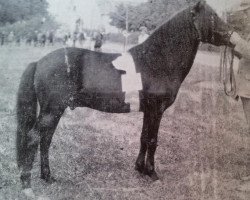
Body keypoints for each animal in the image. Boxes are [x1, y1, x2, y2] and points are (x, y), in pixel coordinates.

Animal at [16, 0, 233, 189]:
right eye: (212, 16)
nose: (232, 35)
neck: (158, 60)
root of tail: (39, 62)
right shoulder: (157, 110)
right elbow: (153, 140)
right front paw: (152, 173)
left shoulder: (148, 111)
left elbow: (144, 137)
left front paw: (140, 169)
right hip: (51, 111)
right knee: (34, 137)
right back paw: (27, 181)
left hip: (55, 111)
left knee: (45, 139)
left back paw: (47, 177)